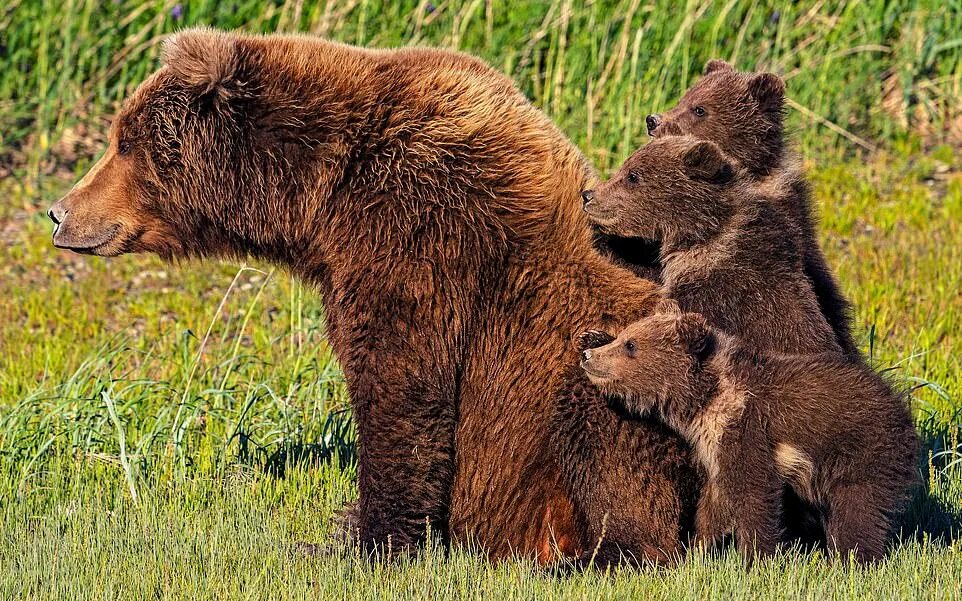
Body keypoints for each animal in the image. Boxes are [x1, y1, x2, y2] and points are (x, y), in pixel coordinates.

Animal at [47, 28, 688, 564]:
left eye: (123, 143)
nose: (59, 211)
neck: (318, 194)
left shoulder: (416, 232)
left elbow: (401, 388)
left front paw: (359, 541)